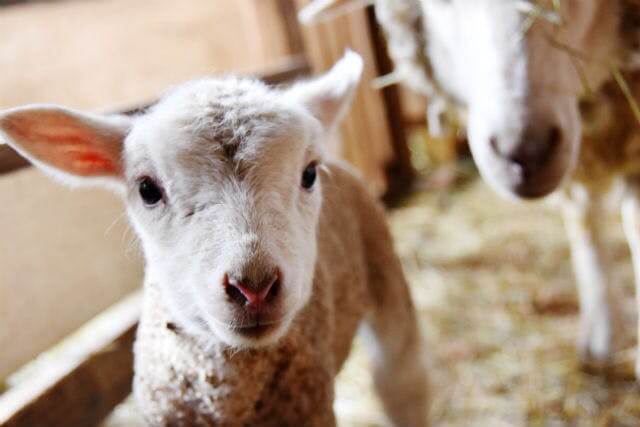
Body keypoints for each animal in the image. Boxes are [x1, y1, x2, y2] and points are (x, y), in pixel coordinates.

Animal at [1, 51, 430, 426]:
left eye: (308, 174)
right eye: (147, 189)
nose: (254, 287)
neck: (228, 399)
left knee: (401, 379)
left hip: (386, 278)